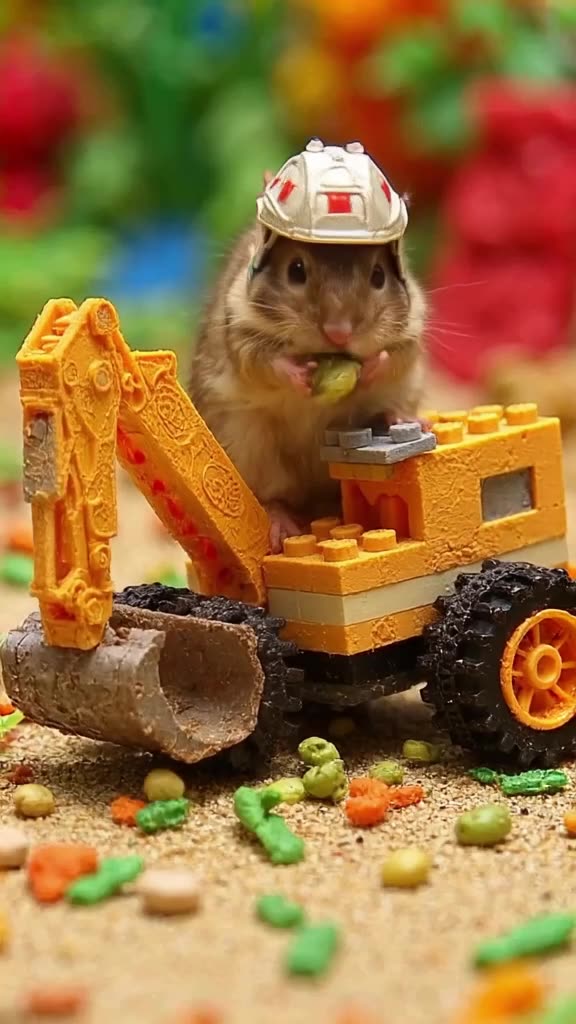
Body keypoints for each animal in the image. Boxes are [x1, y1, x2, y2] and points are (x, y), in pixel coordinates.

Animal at [189, 212, 426, 552]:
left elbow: (393, 357)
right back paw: (283, 525)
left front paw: (370, 366)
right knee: (272, 497)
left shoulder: (411, 331)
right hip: (250, 445)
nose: (339, 333)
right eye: (296, 270)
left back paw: (399, 418)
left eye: (379, 276)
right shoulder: (240, 330)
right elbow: (264, 361)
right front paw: (301, 374)